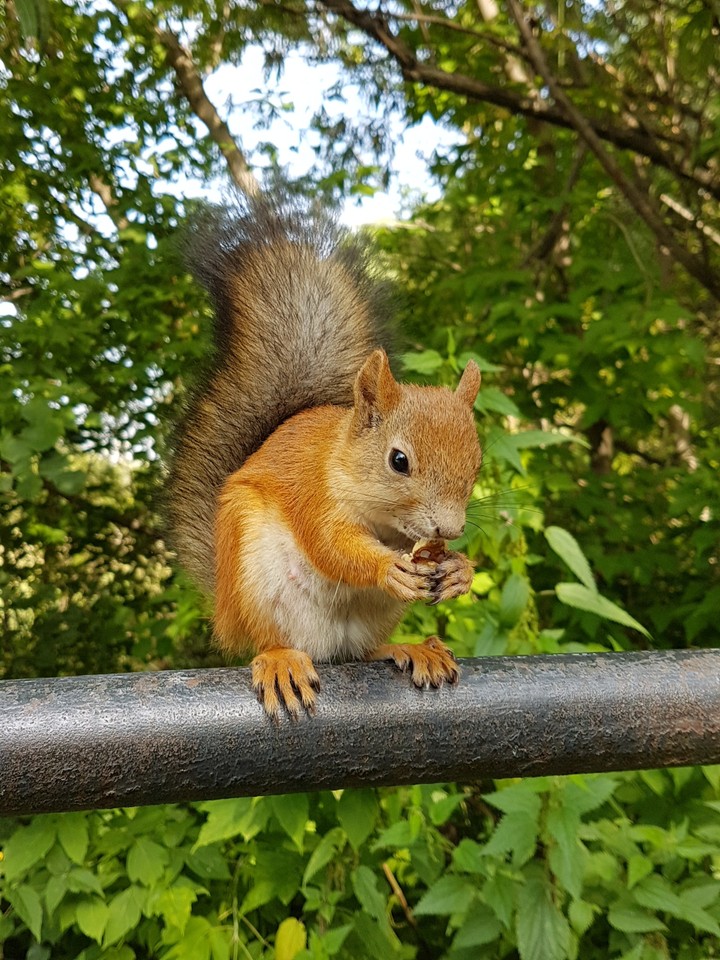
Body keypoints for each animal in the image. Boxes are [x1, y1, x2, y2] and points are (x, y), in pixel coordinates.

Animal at [169, 194, 482, 718]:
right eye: (399, 461)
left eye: (477, 465)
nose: (450, 528)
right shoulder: (314, 494)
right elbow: (331, 547)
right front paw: (387, 567)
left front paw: (459, 569)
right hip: (257, 580)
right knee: (270, 639)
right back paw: (280, 661)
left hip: (373, 616)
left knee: (363, 651)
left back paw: (410, 648)